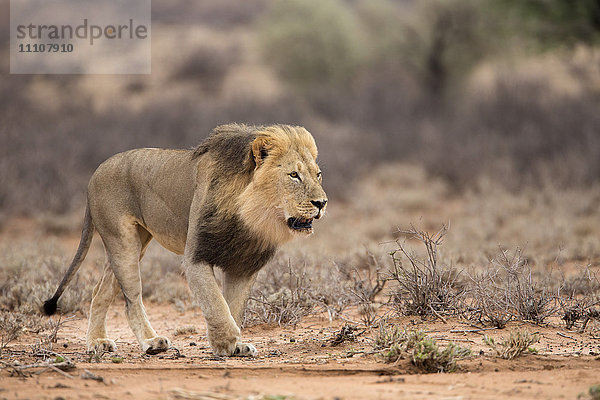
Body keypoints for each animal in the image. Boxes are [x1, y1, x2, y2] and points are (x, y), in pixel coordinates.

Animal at [43, 124, 328, 356]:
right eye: (293, 175)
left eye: (318, 174)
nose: (322, 203)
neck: (251, 216)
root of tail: (95, 173)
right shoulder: (196, 257)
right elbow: (215, 304)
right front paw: (227, 343)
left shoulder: (244, 265)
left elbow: (233, 306)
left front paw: (234, 346)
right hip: (122, 241)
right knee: (131, 299)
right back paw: (151, 342)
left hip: (135, 242)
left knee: (99, 290)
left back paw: (97, 342)